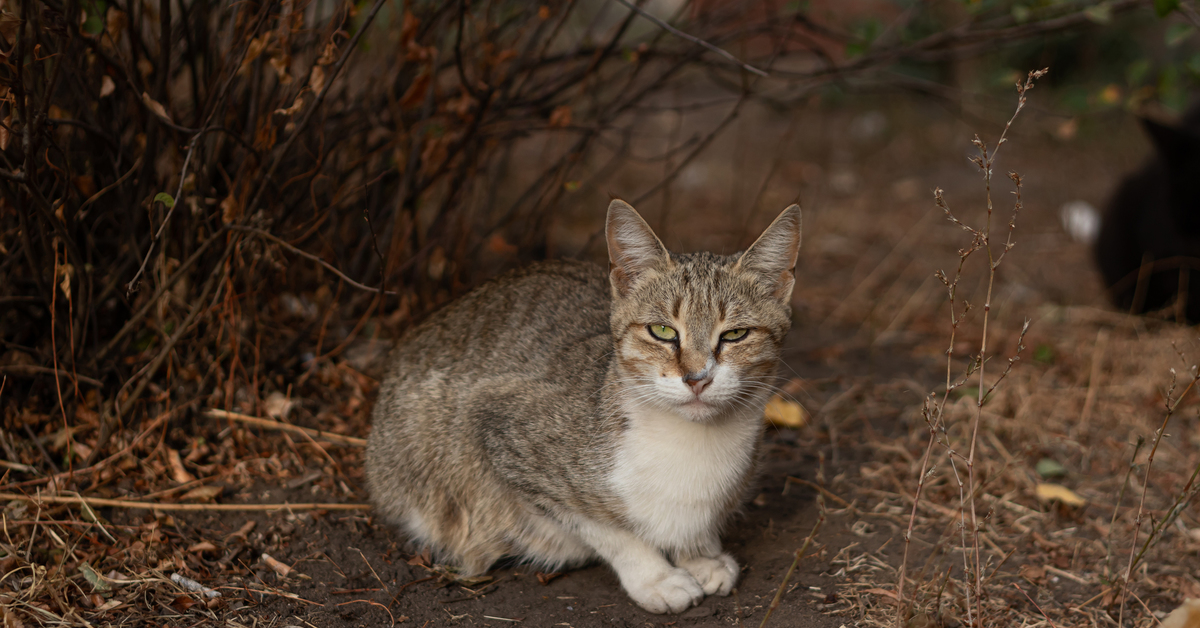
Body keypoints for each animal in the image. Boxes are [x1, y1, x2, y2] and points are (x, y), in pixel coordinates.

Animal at [360, 200, 801, 614]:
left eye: (736, 334)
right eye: (662, 331)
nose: (697, 378)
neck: (691, 443)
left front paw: (699, 554)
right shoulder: (499, 429)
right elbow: (605, 527)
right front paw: (656, 576)